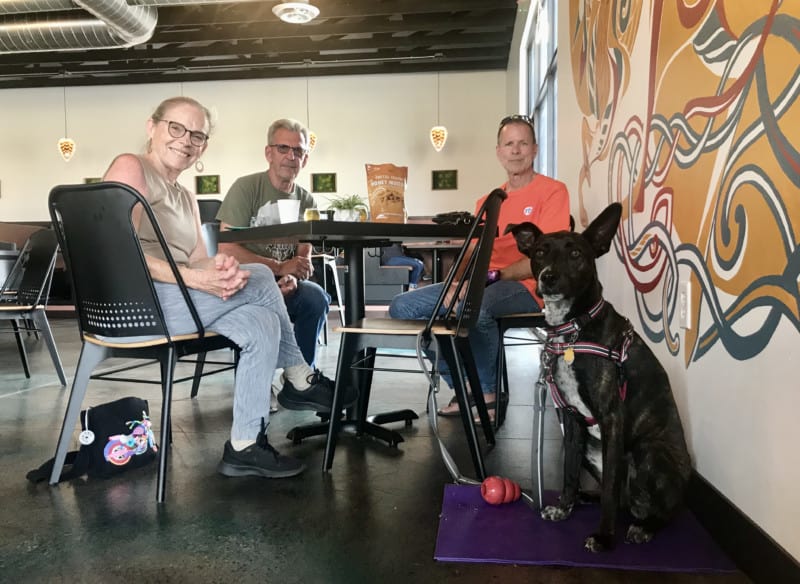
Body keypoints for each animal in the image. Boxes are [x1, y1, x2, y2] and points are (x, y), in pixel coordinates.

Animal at [510, 204, 692, 552]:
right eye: (540, 252)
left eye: (576, 254)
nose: (548, 276)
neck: (573, 329)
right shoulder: (571, 421)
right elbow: (568, 471)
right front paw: (564, 507)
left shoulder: (611, 418)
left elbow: (609, 489)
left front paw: (605, 538)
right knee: (618, 498)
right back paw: (585, 497)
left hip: (648, 453)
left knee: (659, 510)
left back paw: (644, 527)